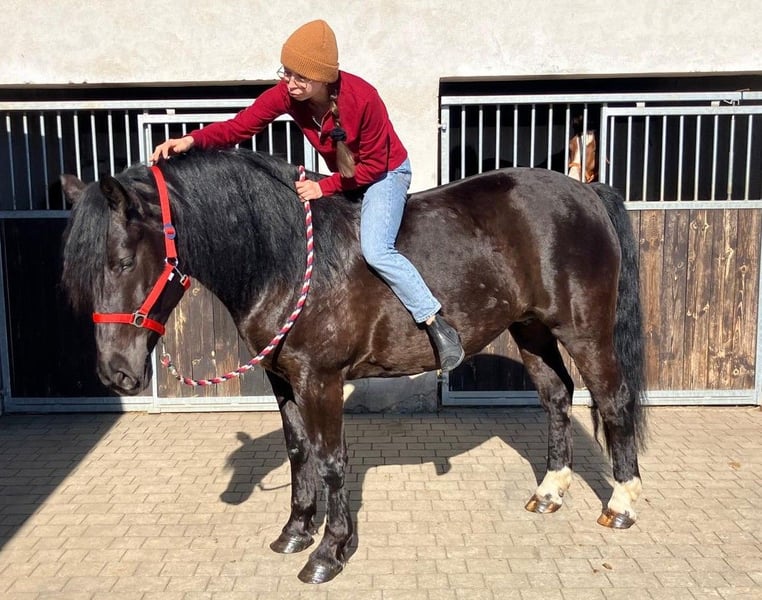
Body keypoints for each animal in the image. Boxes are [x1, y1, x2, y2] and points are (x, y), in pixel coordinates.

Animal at [60, 147, 647, 584]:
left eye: (122, 262)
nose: (115, 373)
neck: (289, 259)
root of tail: (585, 191)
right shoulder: (283, 380)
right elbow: (299, 453)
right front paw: (295, 531)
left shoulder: (320, 381)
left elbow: (331, 460)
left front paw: (330, 552)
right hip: (530, 329)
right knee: (557, 397)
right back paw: (549, 492)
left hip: (584, 330)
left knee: (612, 400)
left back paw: (622, 504)